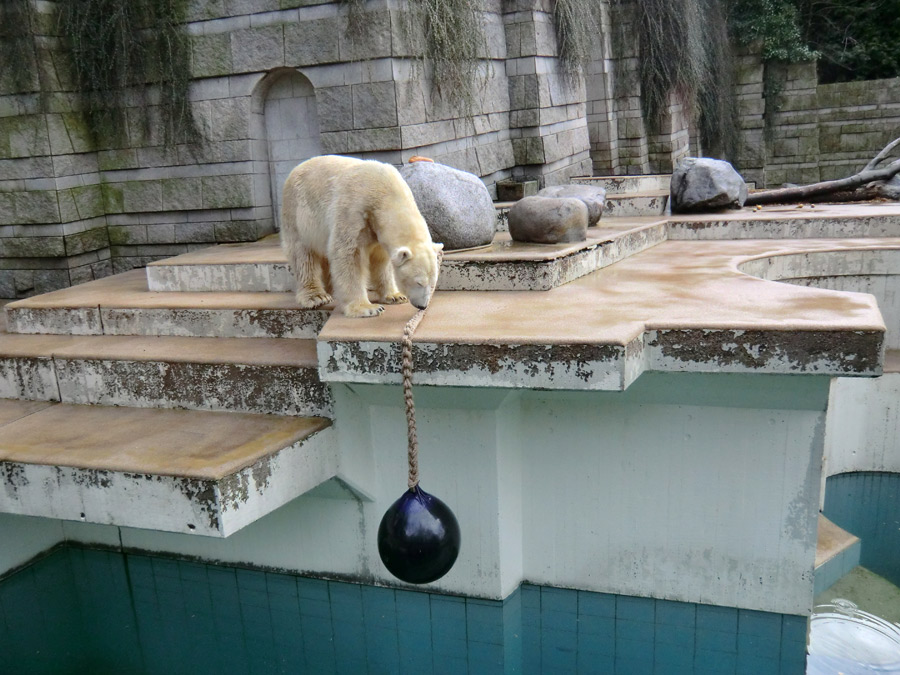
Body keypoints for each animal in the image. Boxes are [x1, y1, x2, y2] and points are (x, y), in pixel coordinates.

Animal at [282, 156, 442, 320]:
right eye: (419, 282)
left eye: (433, 283)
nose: (422, 306)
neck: (385, 193)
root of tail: (296, 168)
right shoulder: (353, 211)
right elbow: (349, 256)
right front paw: (367, 308)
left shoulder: (377, 230)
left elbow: (381, 261)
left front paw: (395, 296)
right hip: (298, 214)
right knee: (303, 255)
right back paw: (316, 296)